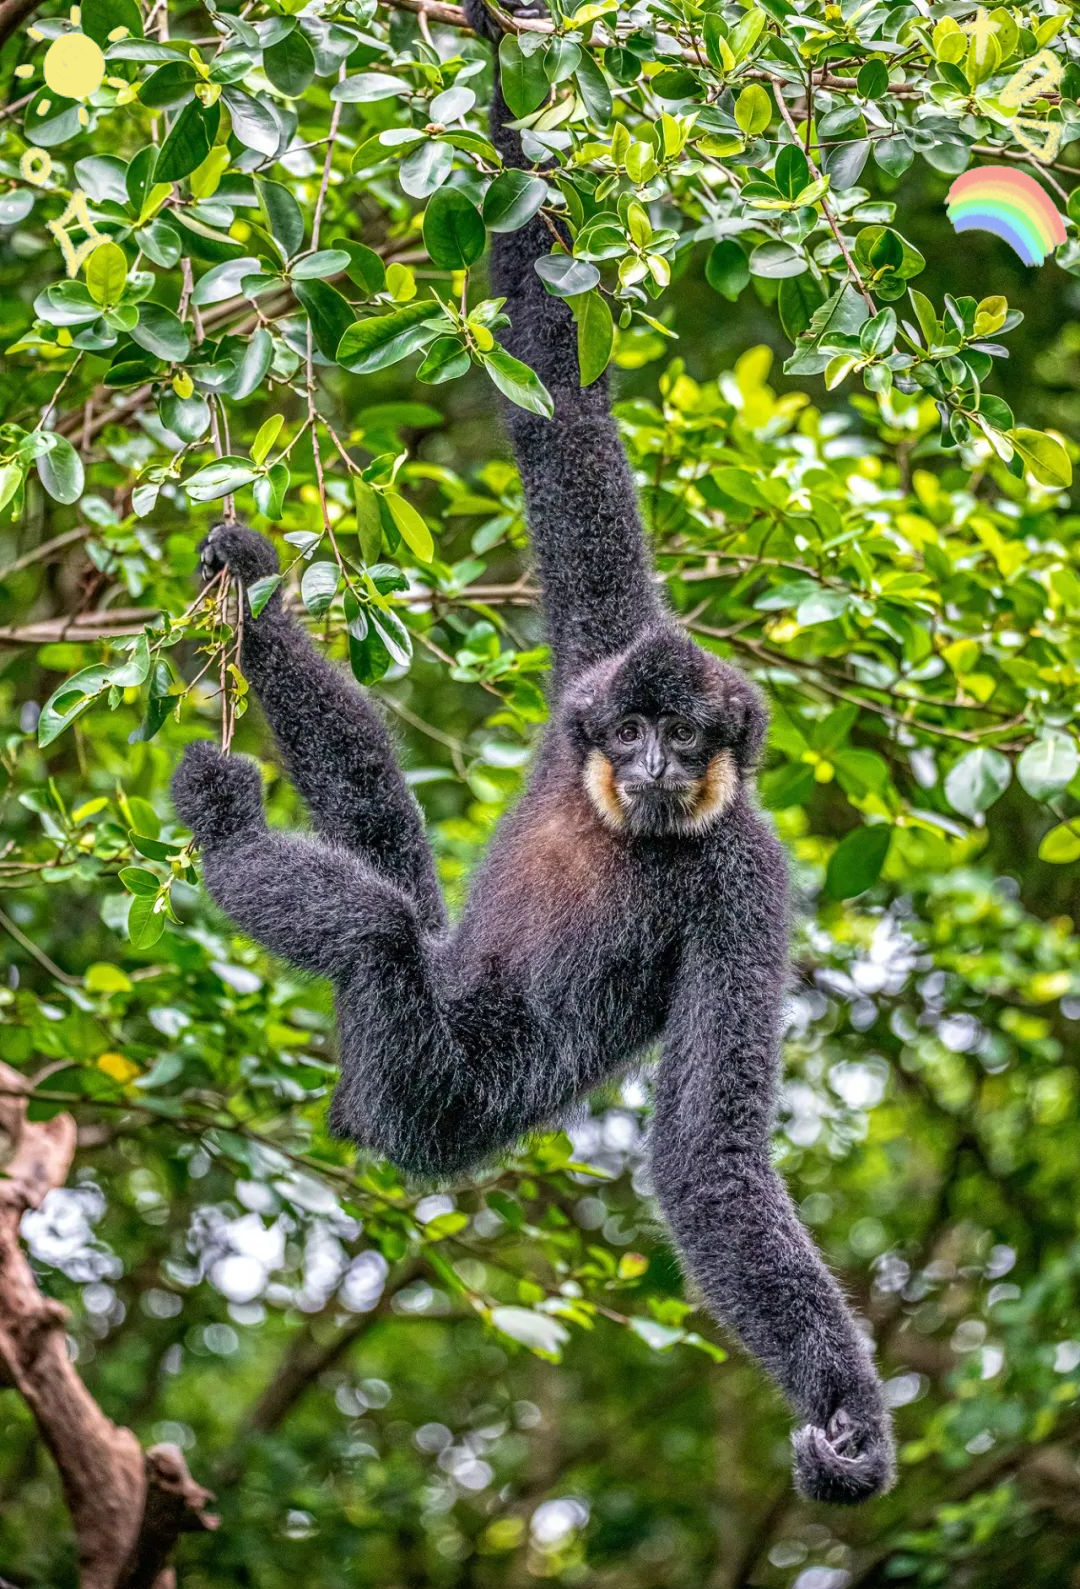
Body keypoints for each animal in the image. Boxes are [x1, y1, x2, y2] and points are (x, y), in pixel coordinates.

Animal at [170, 2, 895, 1505]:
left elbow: (711, 1156)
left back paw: (225, 818)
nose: (658, 758)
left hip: (430, 1087)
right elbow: (556, 387)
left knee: (383, 935)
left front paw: (845, 1410)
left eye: (689, 734)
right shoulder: (603, 650)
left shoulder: (749, 875)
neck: (629, 817)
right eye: (629, 728)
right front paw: (508, 88)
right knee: (397, 881)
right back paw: (258, 618)